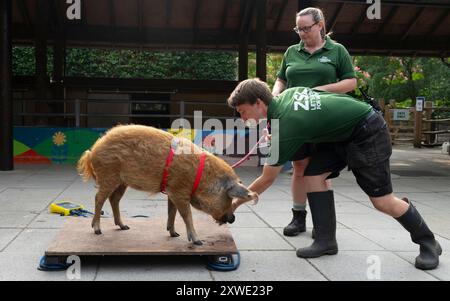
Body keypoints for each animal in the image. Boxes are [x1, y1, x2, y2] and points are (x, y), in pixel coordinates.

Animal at [77, 124, 258, 244]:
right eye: (229, 198)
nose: (233, 218)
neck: (201, 178)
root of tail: (93, 150)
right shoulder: (179, 190)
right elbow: (186, 215)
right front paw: (197, 242)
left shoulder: (172, 191)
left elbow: (172, 212)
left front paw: (174, 234)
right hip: (108, 175)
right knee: (98, 198)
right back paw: (97, 230)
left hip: (122, 182)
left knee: (114, 199)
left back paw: (124, 227)